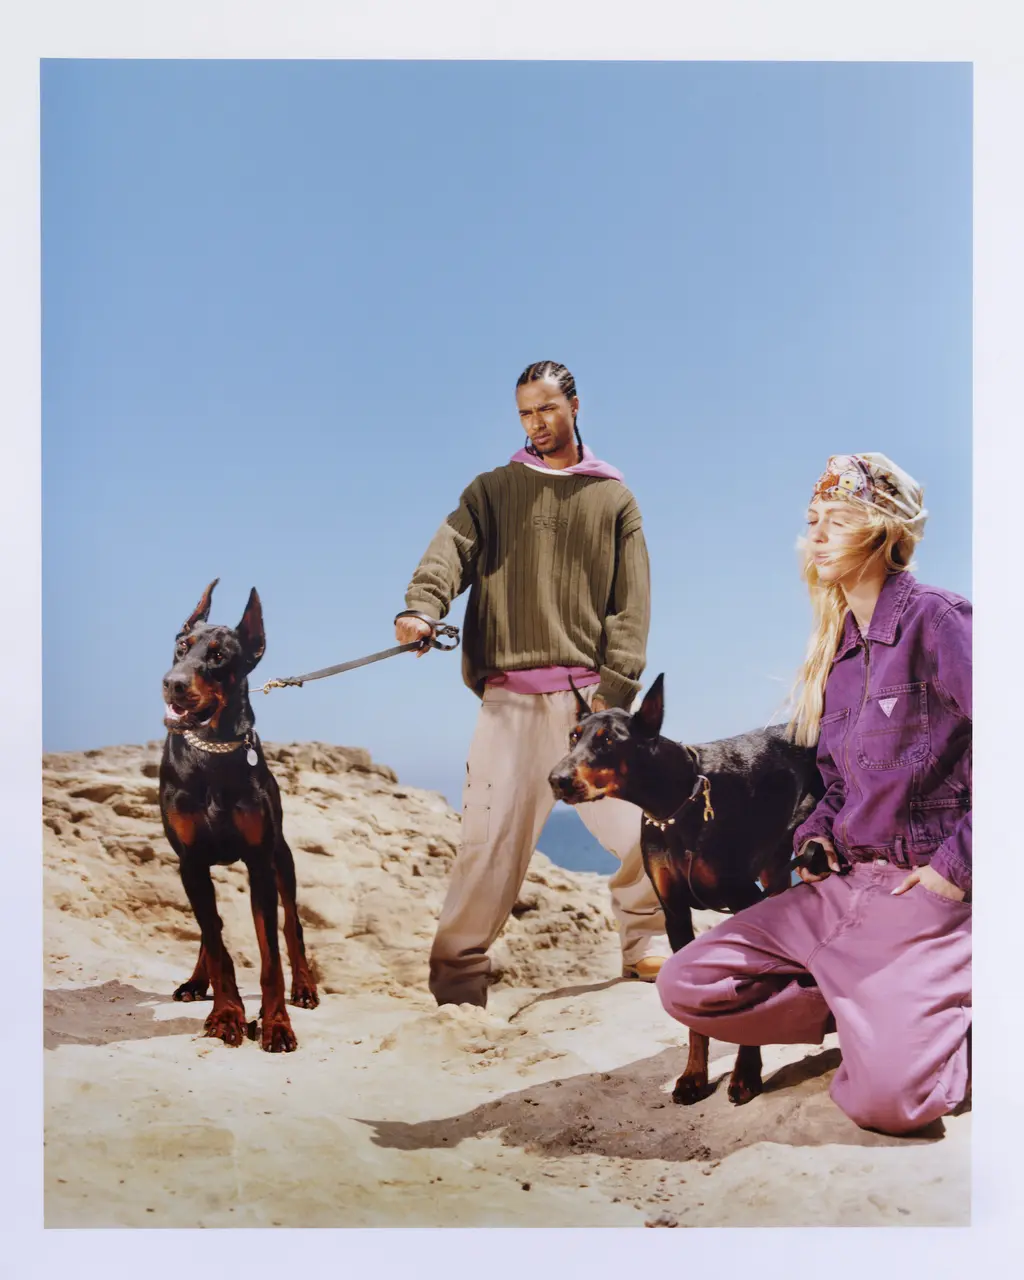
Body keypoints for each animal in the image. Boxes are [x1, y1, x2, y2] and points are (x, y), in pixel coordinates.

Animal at [159, 579, 318, 1052]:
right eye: (181, 646)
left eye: (218, 657)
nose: (172, 684)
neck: (212, 753)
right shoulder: (190, 862)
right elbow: (215, 944)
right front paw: (227, 1014)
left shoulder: (259, 861)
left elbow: (271, 957)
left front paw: (277, 1023)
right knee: (210, 930)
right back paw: (197, 982)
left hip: (282, 857)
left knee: (292, 926)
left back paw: (304, 987)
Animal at [548, 674, 825, 1105]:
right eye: (573, 736)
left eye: (609, 741)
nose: (556, 780)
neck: (677, 804)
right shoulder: (675, 913)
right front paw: (695, 1075)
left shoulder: (743, 901)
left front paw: (746, 1073)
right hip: (776, 867)